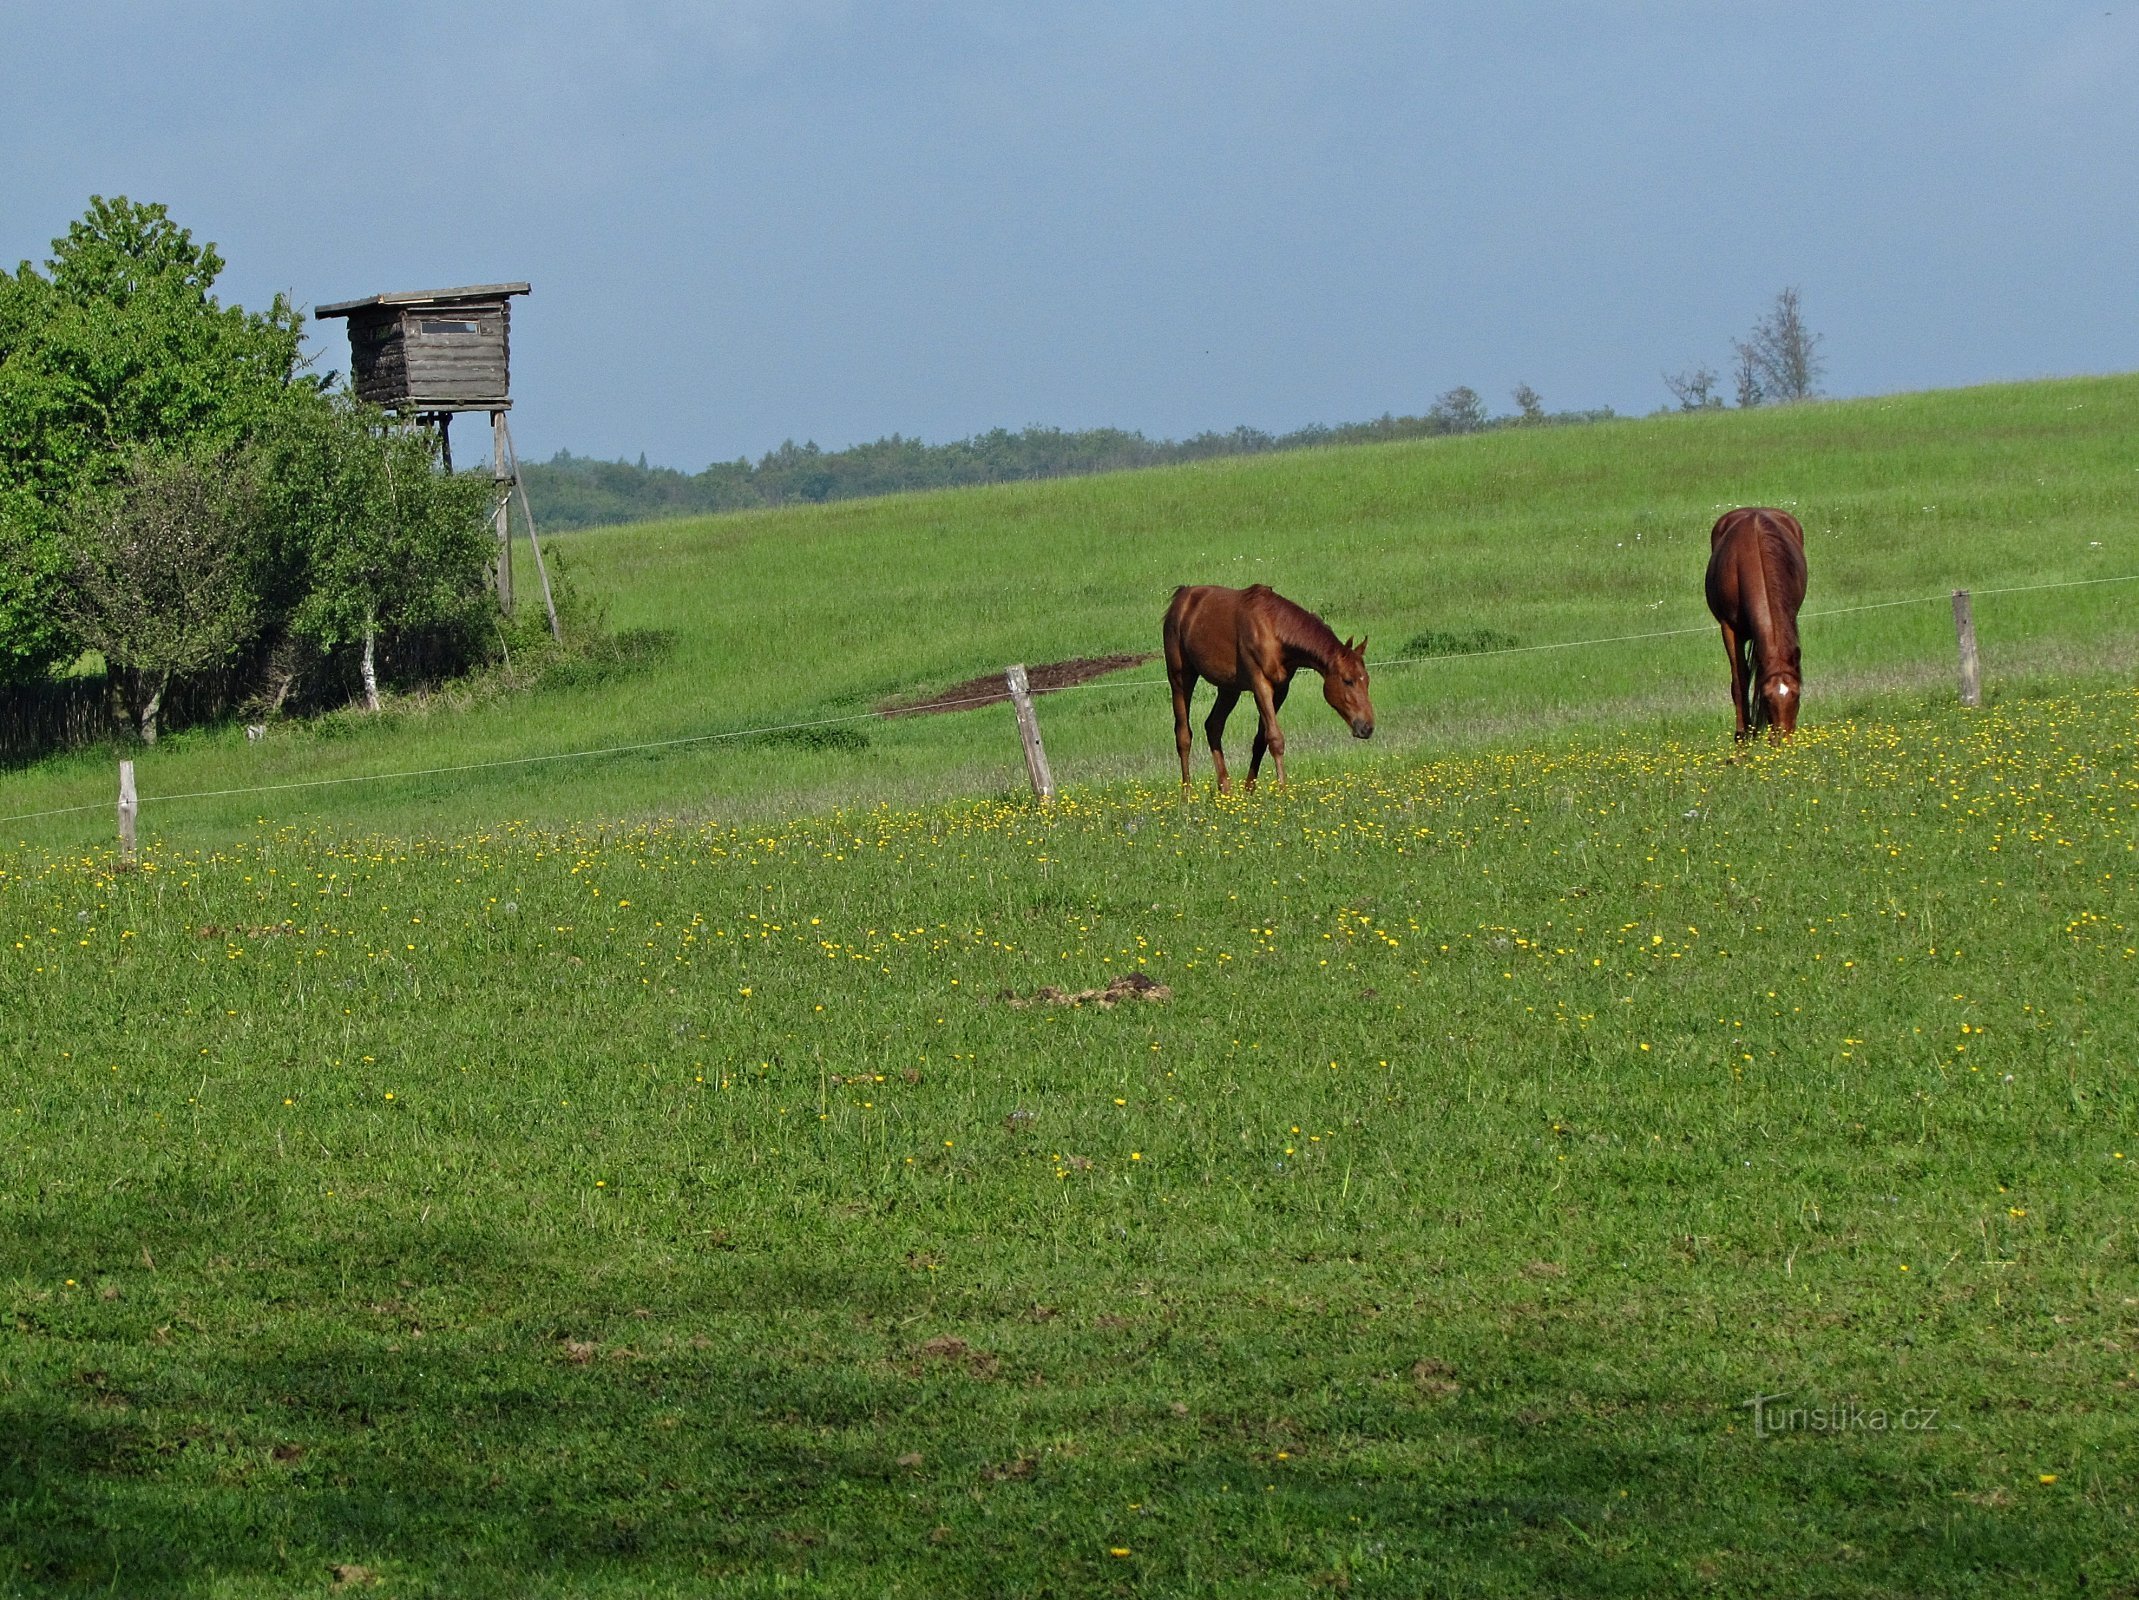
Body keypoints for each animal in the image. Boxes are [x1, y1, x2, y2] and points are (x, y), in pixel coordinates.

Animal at [1163, 586, 1377, 791]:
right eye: (1347, 681)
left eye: (1366, 680)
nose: (1367, 727)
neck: (1273, 629)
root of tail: (1181, 597)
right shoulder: (1261, 685)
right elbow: (1275, 739)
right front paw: (1282, 791)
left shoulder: (1281, 689)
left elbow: (1261, 741)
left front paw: (1249, 792)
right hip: (1180, 678)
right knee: (1183, 736)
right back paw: (1187, 795)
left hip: (1229, 688)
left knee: (1214, 726)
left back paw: (1226, 791)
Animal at [1702, 506, 1805, 744]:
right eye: (1767, 699)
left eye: (1796, 696)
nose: (1782, 742)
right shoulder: (1729, 629)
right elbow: (1740, 680)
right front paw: (1742, 736)